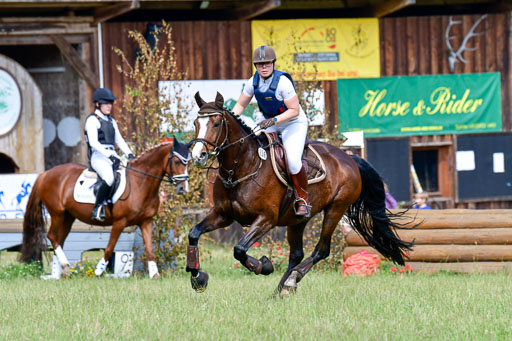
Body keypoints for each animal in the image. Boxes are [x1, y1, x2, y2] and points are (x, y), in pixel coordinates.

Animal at [19, 139, 192, 278]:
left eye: (188, 162)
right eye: (177, 162)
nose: (183, 188)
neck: (140, 183)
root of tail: (46, 173)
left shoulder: (146, 222)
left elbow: (150, 249)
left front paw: (155, 274)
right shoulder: (119, 223)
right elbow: (109, 248)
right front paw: (98, 271)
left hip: (68, 217)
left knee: (59, 240)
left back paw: (61, 272)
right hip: (57, 214)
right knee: (52, 237)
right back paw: (65, 267)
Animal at [186, 92, 414, 294]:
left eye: (216, 123)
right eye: (196, 123)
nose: (198, 155)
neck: (244, 166)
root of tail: (349, 158)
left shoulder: (266, 219)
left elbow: (239, 250)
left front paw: (264, 266)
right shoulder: (223, 215)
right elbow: (194, 233)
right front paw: (198, 277)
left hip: (335, 209)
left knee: (321, 249)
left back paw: (291, 281)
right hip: (297, 219)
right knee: (296, 254)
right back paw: (281, 290)